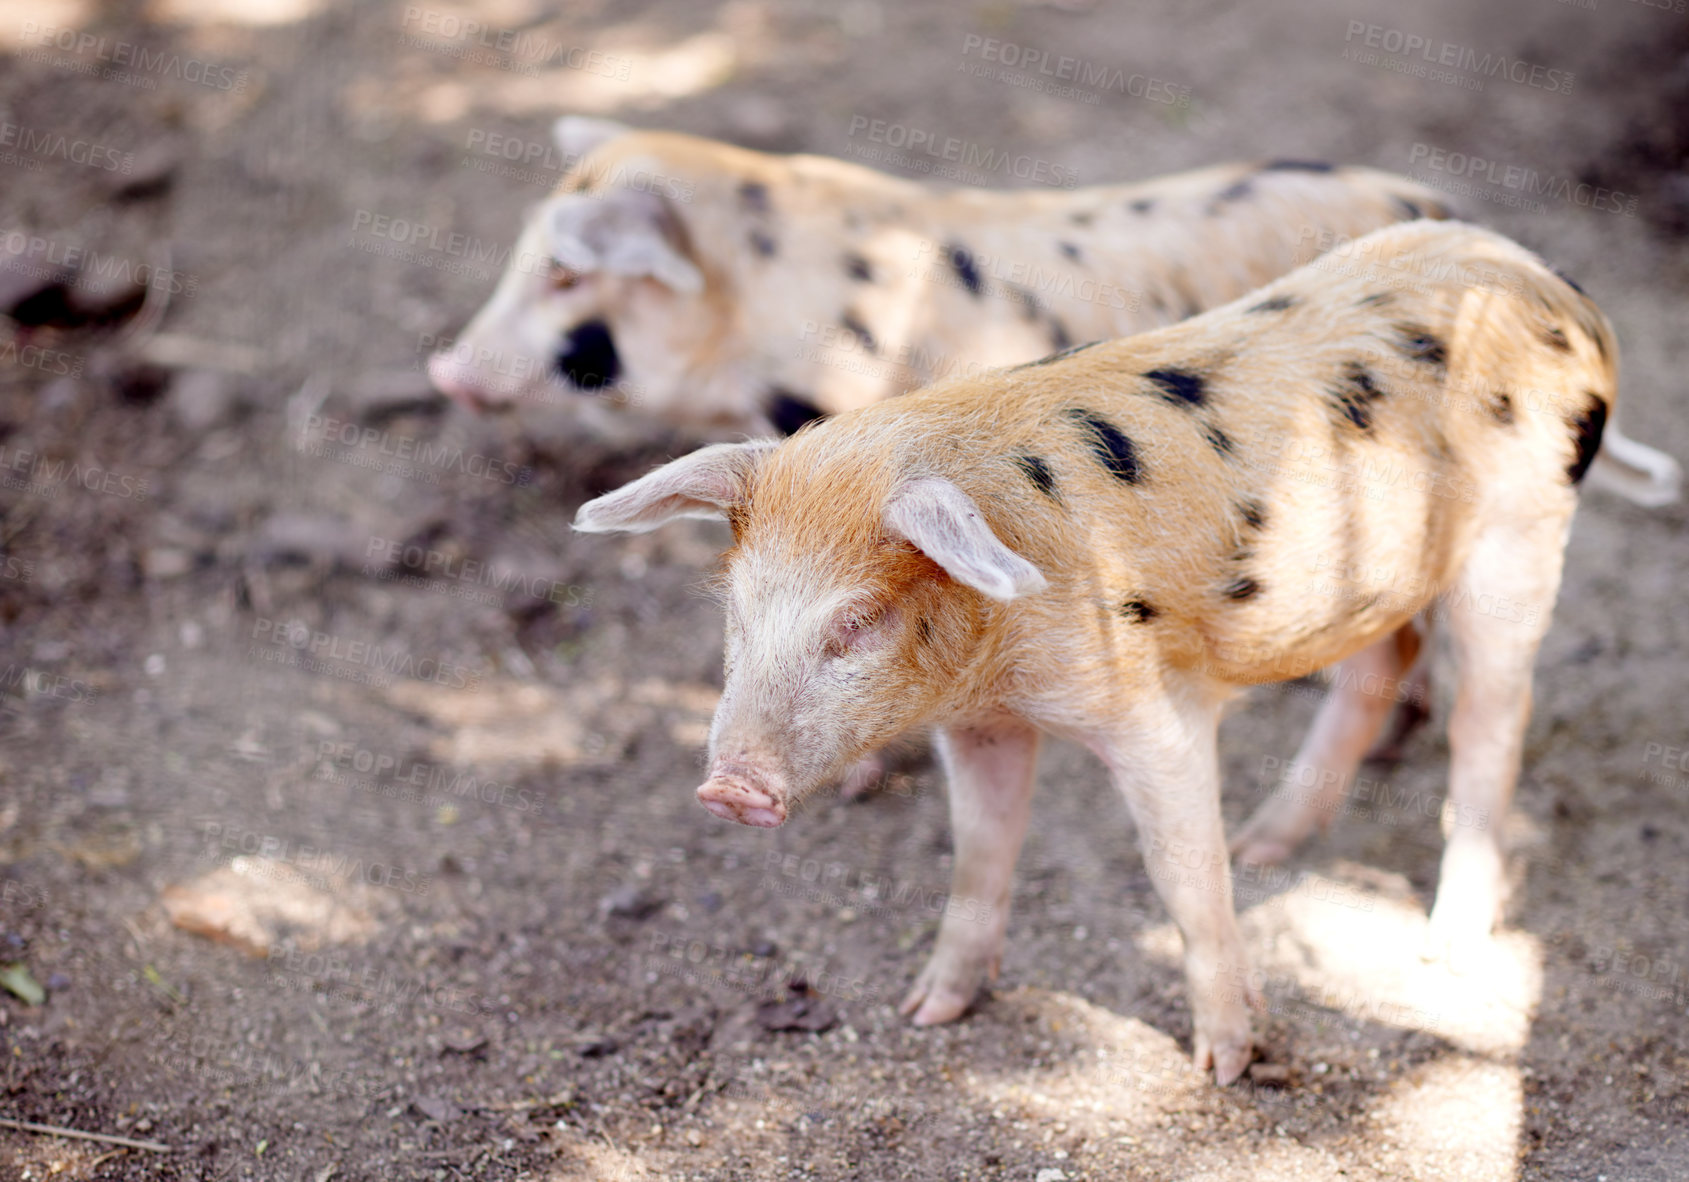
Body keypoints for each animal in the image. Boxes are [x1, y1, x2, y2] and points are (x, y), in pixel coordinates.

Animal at [573, 219, 1642, 1084]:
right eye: (736, 610)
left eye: (856, 620)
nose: (728, 789)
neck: (999, 666)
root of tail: (1554, 284)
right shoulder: (982, 725)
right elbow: (979, 852)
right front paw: (927, 1011)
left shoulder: (1149, 713)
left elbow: (1181, 874)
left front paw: (1224, 1065)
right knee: (1382, 662)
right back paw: (1267, 845)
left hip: (1521, 538)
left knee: (1491, 720)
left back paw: (1441, 945)